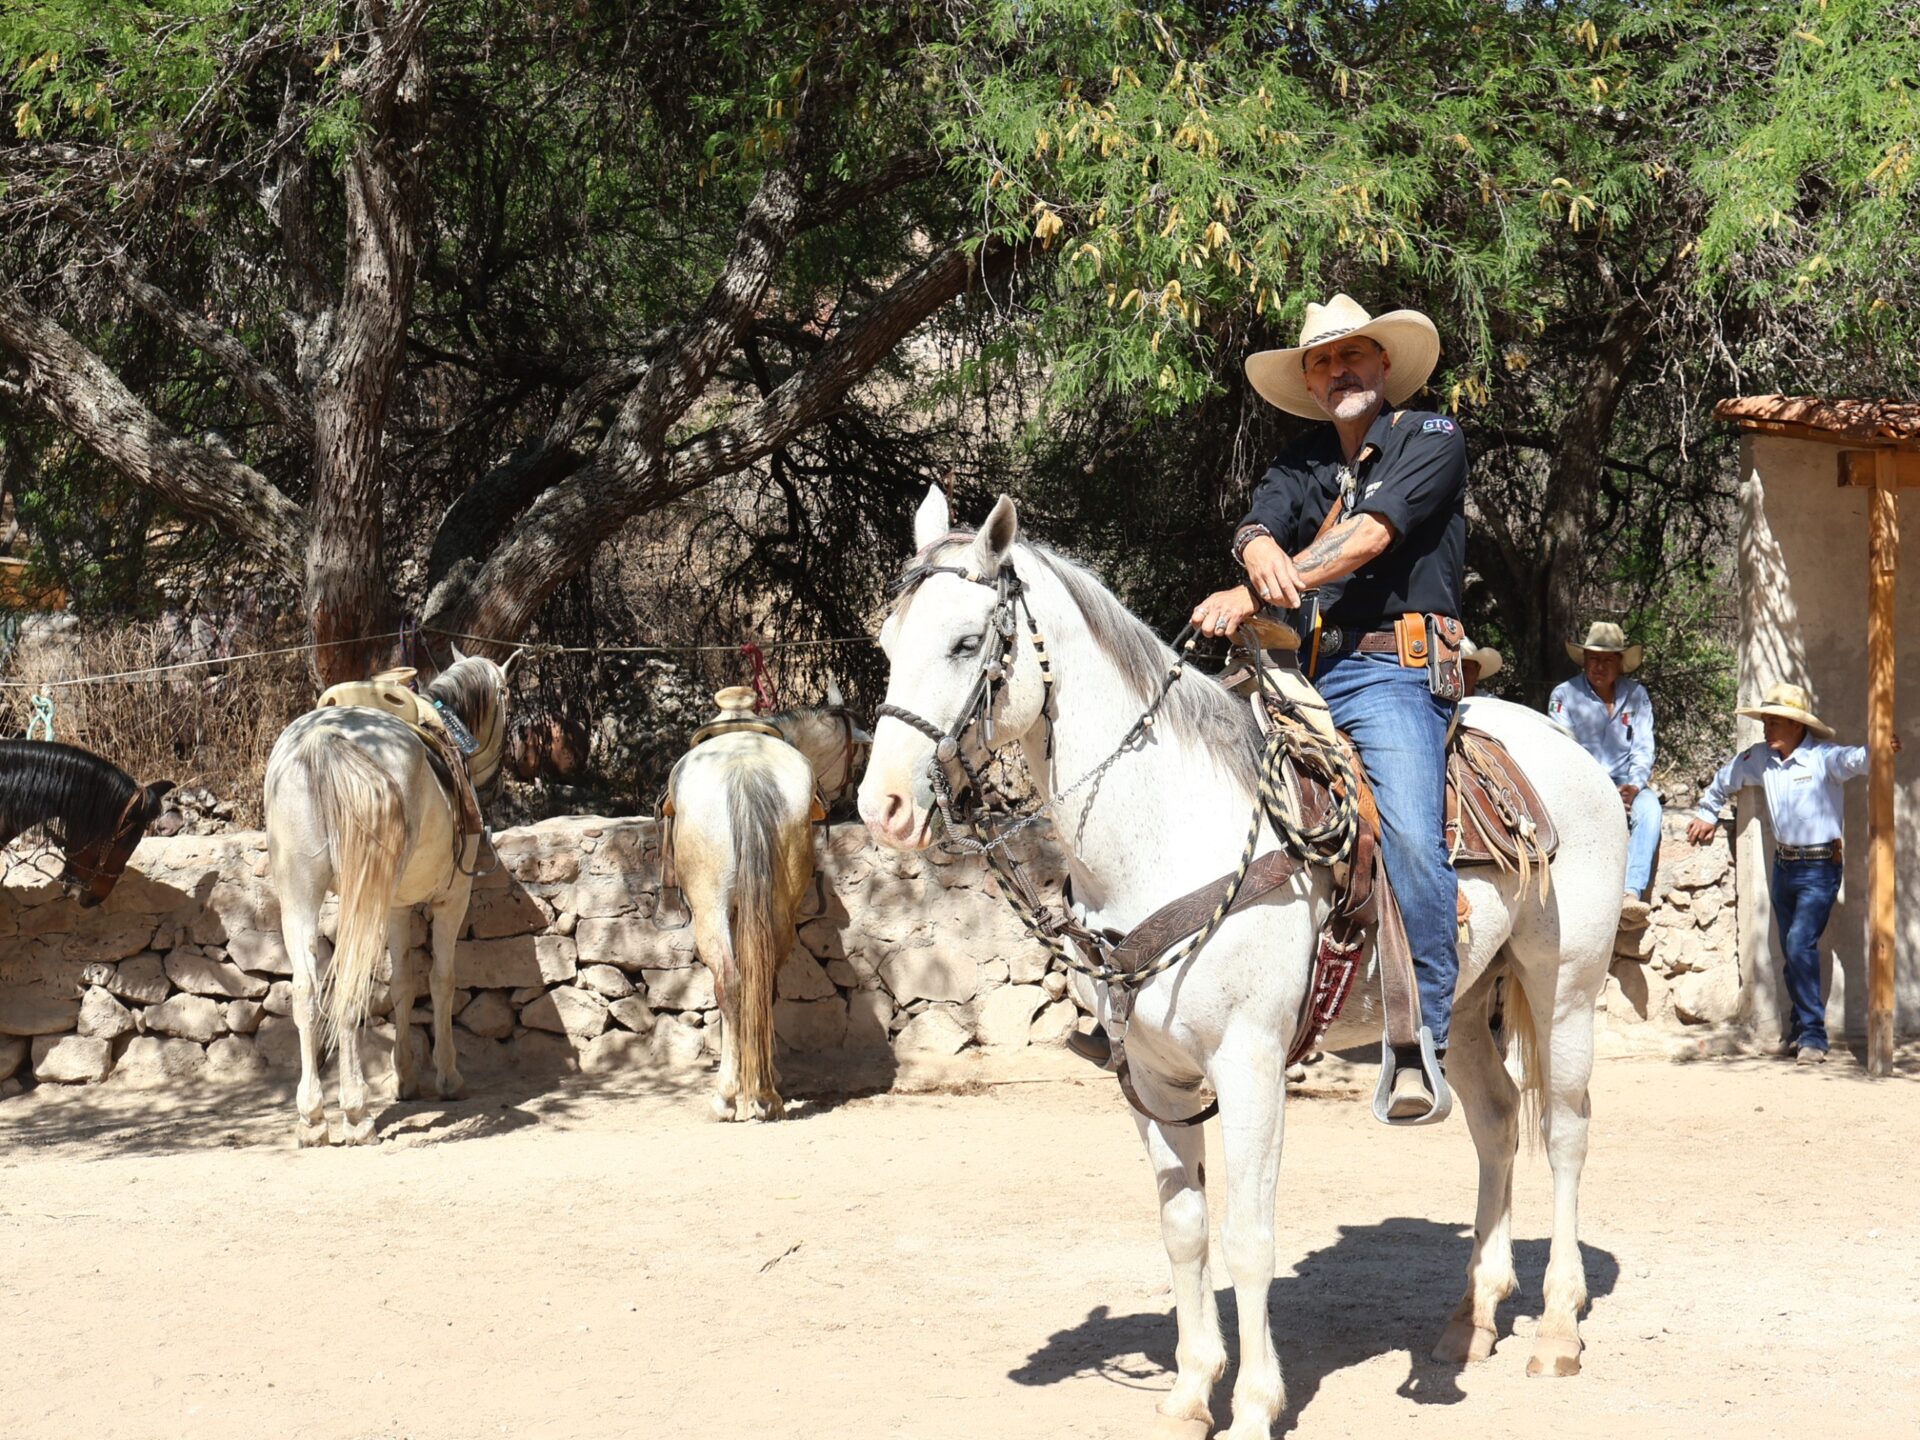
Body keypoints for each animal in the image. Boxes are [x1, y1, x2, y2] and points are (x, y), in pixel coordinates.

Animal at [263, 651, 511, 1146]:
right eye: (507, 702)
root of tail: (323, 740)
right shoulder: (452, 899)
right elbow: (440, 980)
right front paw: (446, 1077)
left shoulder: (395, 906)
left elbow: (401, 985)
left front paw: (406, 1079)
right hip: (364, 898)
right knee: (351, 985)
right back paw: (356, 1113)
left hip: (300, 891)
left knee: (306, 989)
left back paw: (312, 1117)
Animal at [668, 694, 859, 1121]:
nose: (848, 799)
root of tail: (744, 769)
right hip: (774, 906)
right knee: (759, 977)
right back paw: (763, 1091)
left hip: (711, 908)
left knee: (733, 982)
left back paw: (732, 1095)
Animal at [858, 488, 1622, 1439]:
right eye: (888, 645)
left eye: (967, 643)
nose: (881, 807)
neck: (1167, 831)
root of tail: (1571, 752)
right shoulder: (1151, 1076)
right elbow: (1184, 1228)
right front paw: (1192, 1393)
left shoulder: (1251, 1066)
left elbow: (1249, 1237)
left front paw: (1257, 1405)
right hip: (1467, 996)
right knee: (1494, 1120)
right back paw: (1471, 1320)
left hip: (1566, 987)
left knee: (1564, 1130)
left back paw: (1555, 1329)